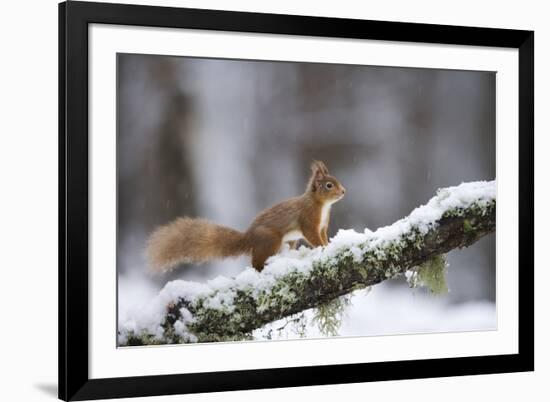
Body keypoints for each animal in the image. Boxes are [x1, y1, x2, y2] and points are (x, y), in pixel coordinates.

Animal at [147, 161, 344, 274]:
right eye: (329, 185)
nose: (343, 191)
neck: (322, 205)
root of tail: (248, 238)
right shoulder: (309, 220)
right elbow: (312, 236)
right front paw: (323, 248)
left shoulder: (322, 226)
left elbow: (323, 235)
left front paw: (329, 244)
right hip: (270, 239)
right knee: (256, 262)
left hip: (287, 241)